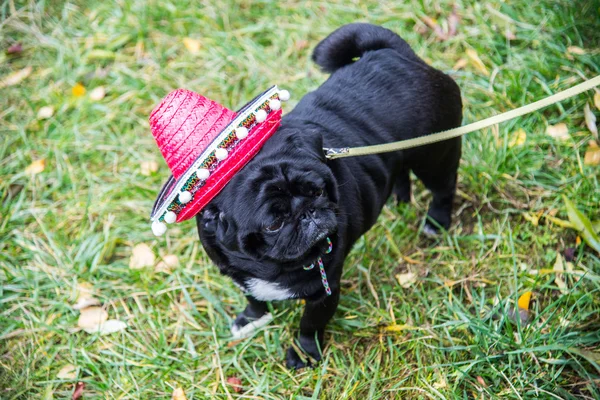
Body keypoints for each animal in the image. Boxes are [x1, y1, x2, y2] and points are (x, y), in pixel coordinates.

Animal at [195, 23, 462, 368]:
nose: (309, 211)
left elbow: (309, 325)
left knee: (443, 187)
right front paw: (250, 318)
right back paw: (398, 198)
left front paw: (303, 354)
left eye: (318, 191)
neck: (270, 268)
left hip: (434, 154)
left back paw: (436, 222)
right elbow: (253, 297)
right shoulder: (240, 274)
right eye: (273, 224)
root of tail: (398, 55)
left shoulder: (324, 291)